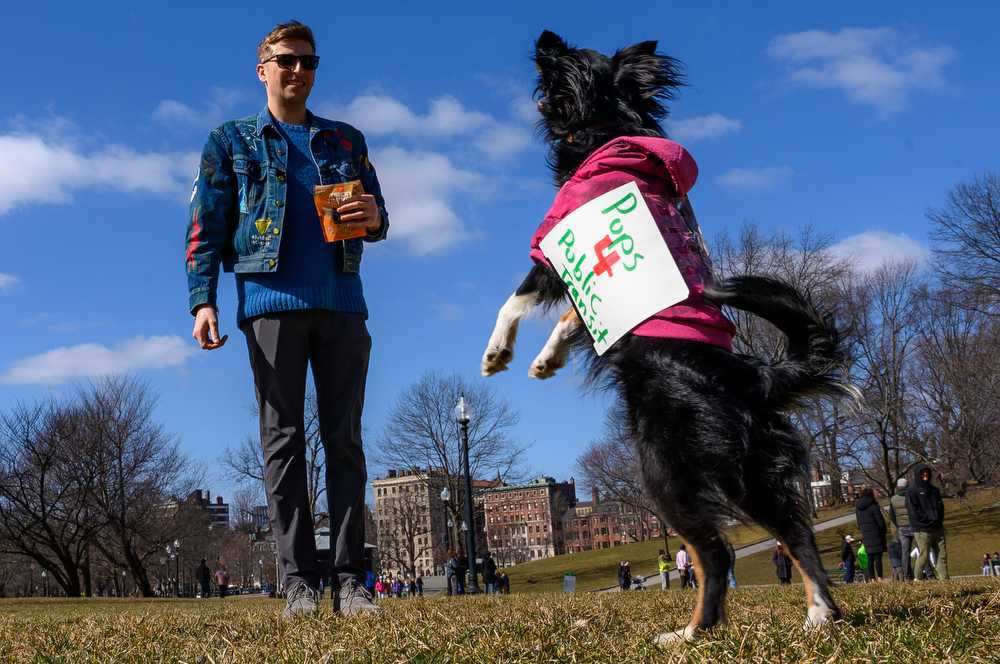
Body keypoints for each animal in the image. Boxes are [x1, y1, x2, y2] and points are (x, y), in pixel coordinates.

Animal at [480, 29, 856, 644]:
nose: (545, 38)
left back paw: (693, 632)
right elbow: (574, 320)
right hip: (752, 472)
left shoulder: (552, 248)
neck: (611, 127)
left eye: (564, 61)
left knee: (715, 553)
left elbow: (516, 300)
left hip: (665, 466)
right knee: (795, 532)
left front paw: (500, 353)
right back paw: (820, 615)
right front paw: (547, 359)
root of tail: (757, 376)